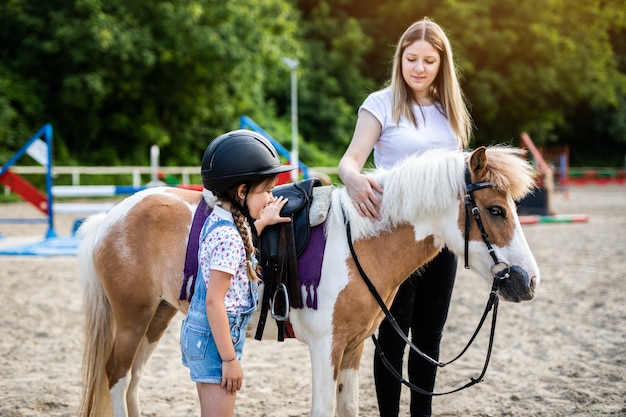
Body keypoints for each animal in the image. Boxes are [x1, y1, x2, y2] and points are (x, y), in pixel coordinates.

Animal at [77, 145, 536, 416]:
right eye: (495, 210)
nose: (528, 281)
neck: (360, 243)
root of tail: (109, 218)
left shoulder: (351, 348)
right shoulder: (325, 346)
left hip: (158, 316)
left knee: (133, 383)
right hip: (133, 318)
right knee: (117, 377)